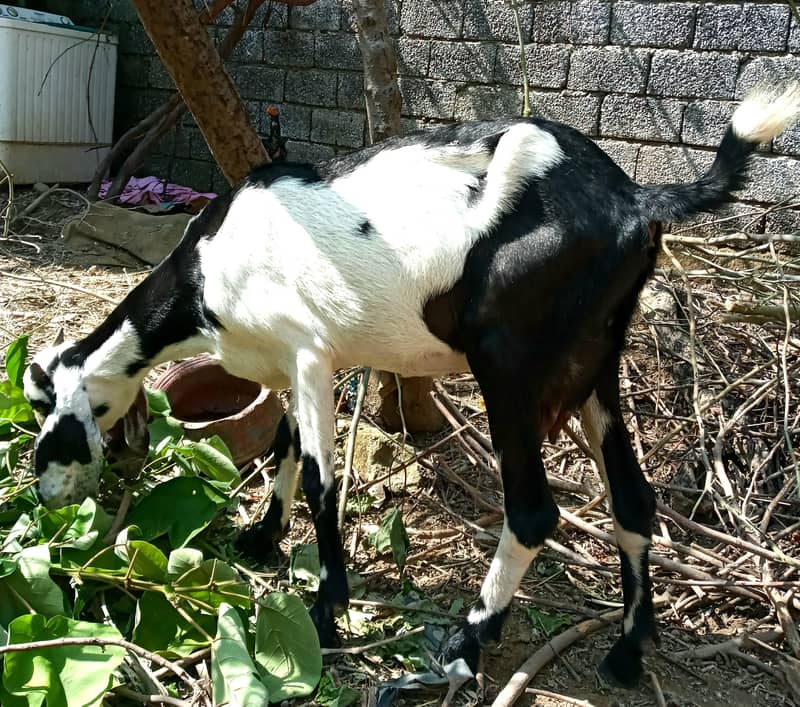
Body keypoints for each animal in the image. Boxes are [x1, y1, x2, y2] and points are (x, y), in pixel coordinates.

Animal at [24, 84, 800, 687]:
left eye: (46, 420)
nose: (47, 497)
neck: (206, 274)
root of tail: (635, 197)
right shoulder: (295, 362)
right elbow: (282, 446)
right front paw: (260, 539)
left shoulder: (309, 352)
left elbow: (319, 478)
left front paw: (326, 609)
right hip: (595, 360)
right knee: (633, 499)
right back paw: (628, 651)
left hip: (509, 360)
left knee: (533, 511)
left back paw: (470, 637)